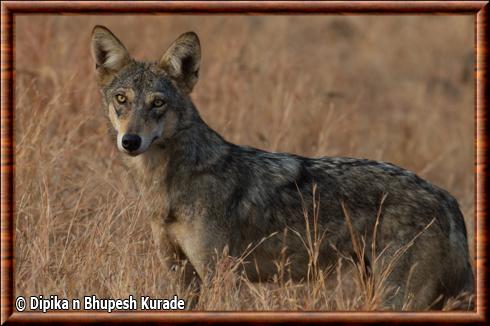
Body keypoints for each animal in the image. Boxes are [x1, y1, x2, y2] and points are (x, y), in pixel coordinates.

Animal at [91, 25, 474, 310]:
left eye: (158, 104)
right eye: (121, 99)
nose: (130, 141)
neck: (167, 184)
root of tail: (447, 199)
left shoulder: (221, 277)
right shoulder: (183, 278)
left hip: (395, 297)